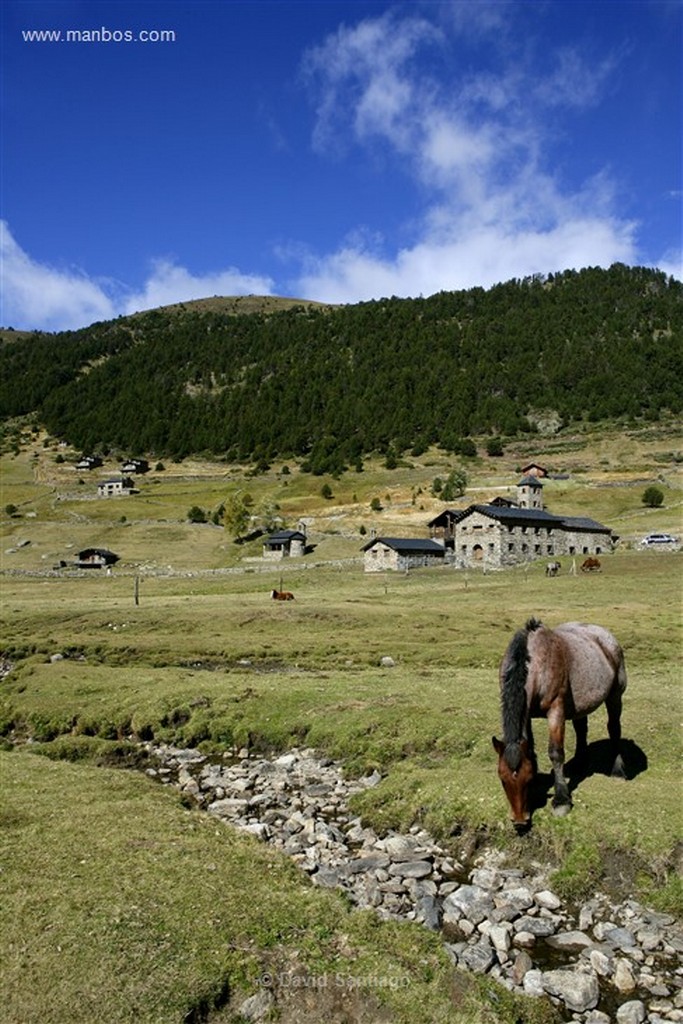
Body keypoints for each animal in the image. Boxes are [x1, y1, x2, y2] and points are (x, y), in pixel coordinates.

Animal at [493, 614, 626, 831]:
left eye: (527, 779)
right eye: (502, 780)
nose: (519, 821)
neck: (537, 664)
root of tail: (607, 637)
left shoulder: (556, 710)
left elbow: (556, 752)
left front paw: (561, 799)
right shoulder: (527, 714)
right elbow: (532, 749)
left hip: (615, 696)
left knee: (614, 728)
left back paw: (618, 770)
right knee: (581, 729)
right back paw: (579, 764)